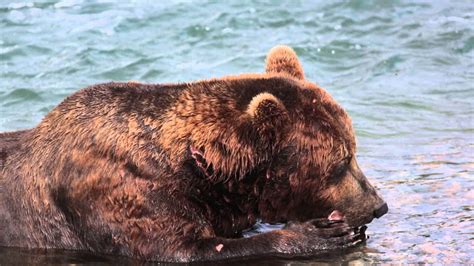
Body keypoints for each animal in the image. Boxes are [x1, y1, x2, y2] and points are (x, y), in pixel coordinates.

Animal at [0, 45, 386, 262]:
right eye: (340, 162)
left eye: (353, 151)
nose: (378, 206)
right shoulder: (121, 192)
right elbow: (181, 248)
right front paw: (320, 234)